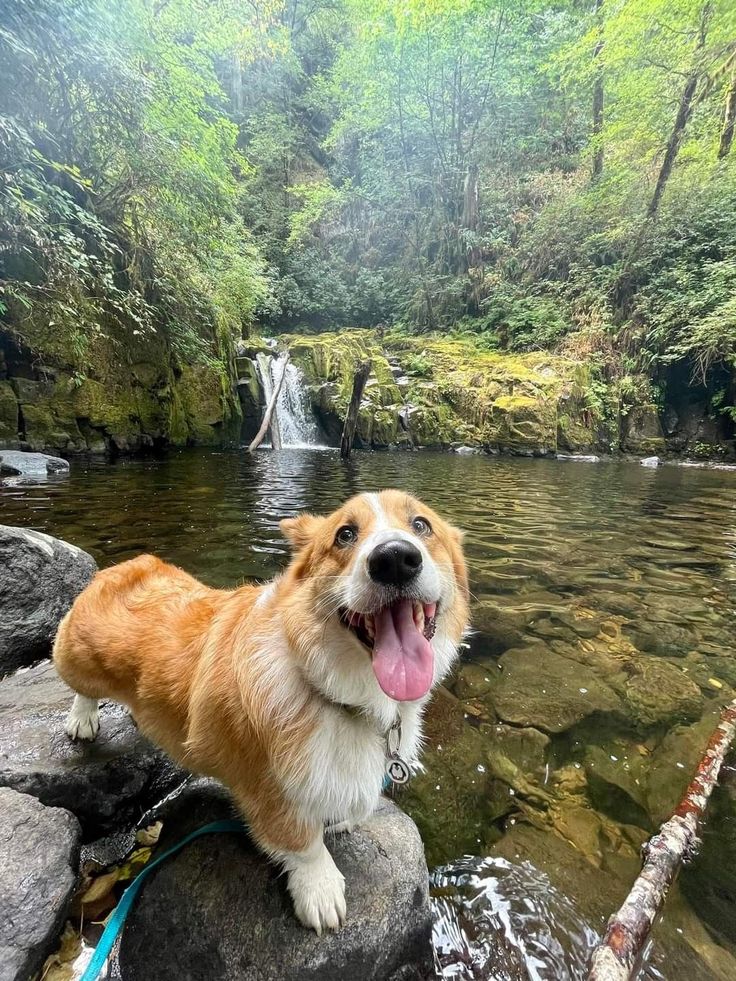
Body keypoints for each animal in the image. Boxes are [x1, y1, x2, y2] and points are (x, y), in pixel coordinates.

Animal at [53, 490, 466, 936]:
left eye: (421, 525)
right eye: (345, 534)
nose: (394, 558)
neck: (336, 693)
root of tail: (123, 566)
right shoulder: (267, 789)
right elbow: (303, 844)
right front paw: (320, 889)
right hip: (76, 658)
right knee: (79, 686)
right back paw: (82, 719)